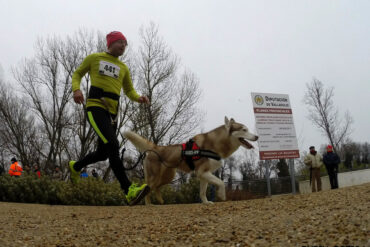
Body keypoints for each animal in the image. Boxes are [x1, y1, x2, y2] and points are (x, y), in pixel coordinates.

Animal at [123, 116, 258, 205]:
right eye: (244, 130)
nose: (257, 136)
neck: (215, 144)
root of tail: (156, 148)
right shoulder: (201, 172)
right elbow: (220, 182)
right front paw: (222, 195)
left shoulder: (204, 175)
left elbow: (202, 192)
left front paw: (206, 202)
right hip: (154, 177)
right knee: (147, 188)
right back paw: (148, 204)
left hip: (167, 177)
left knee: (155, 188)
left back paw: (160, 200)